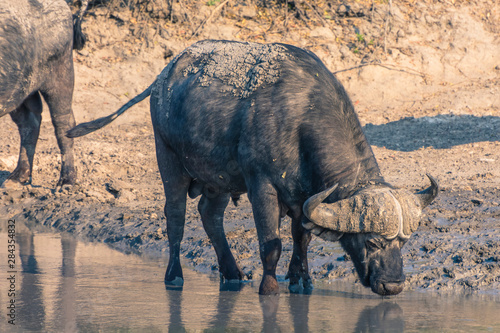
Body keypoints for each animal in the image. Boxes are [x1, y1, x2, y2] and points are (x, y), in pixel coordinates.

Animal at [0, 0, 87, 187]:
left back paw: (67, 181)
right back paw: (17, 177)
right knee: (29, 123)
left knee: (63, 123)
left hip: (61, 74)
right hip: (20, 90)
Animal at [67, 40, 438, 294]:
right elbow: (271, 244)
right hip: (167, 157)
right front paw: (269, 287)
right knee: (175, 218)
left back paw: (232, 273)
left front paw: (301, 280)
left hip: (217, 178)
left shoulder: (304, 195)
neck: (300, 117)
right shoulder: (261, 184)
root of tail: (163, 78)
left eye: (404, 243)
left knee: (209, 214)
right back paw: (174, 276)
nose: (393, 285)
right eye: (372, 242)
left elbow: (302, 238)